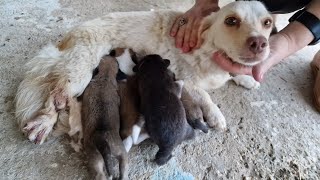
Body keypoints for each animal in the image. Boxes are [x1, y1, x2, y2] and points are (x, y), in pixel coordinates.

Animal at [13, 1, 272, 145]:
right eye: (231, 20)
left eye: (267, 23)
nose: (260, 44)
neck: (209, 49)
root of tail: (68, 37)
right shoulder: (184, 78)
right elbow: (205, 95)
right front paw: (216, 115)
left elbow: (234, 73)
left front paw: (246, 77)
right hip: (79, 74)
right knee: (57, 95)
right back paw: (42, 124)